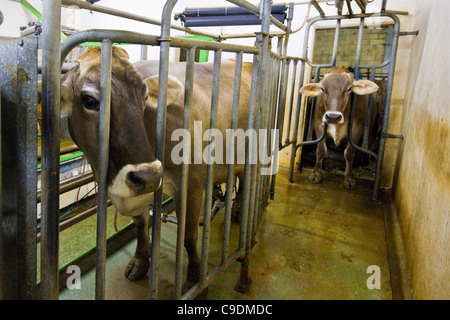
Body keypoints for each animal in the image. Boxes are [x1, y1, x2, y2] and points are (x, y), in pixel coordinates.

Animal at [58, 47, 251, 290]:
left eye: (145, 96)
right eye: (89, 101)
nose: (149, 175)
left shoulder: (192, 182)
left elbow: (189, 236)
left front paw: (194, 281)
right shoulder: (138, 189)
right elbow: (141, 226)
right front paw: (140, 264)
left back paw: (239, 213)